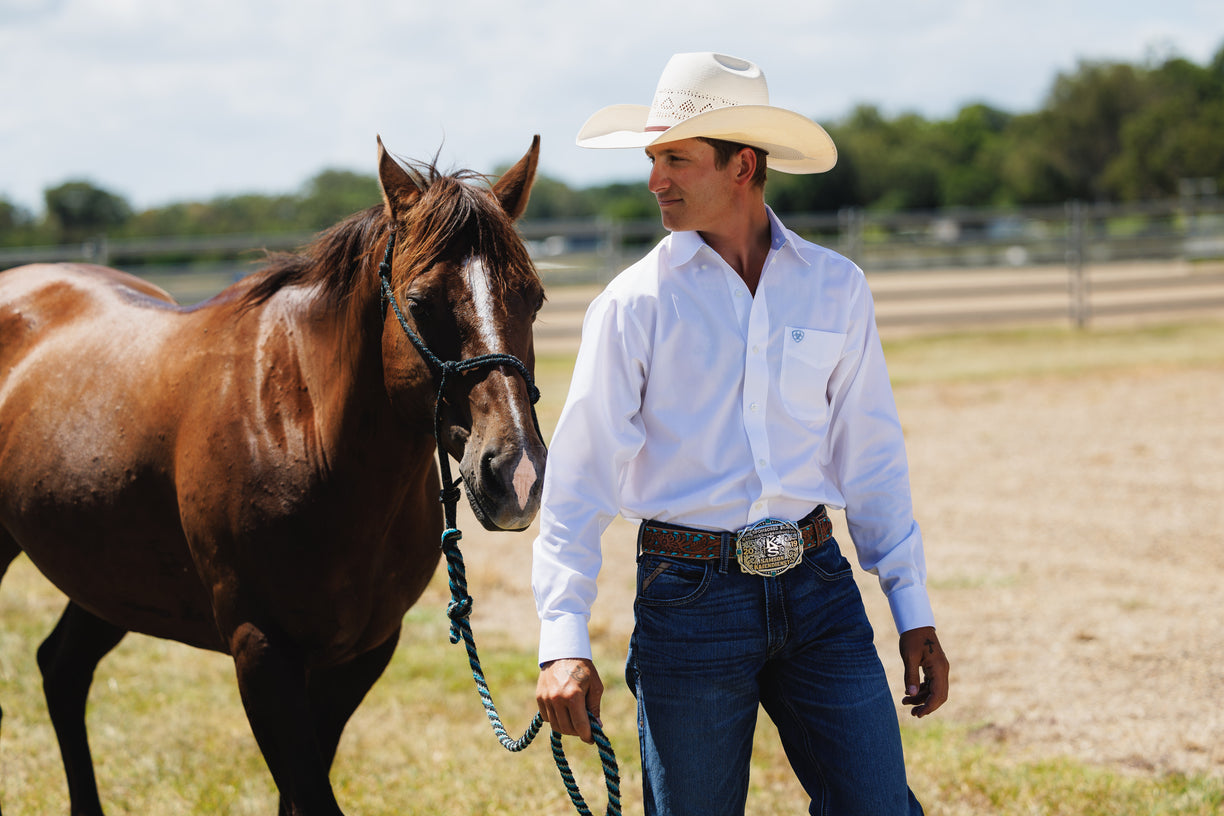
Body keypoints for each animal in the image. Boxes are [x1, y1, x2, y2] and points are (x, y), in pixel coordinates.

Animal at [0, 136, 548, 816]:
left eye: (534, 298)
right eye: (421, 303)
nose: (516, 474)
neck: (301, 430)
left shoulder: (356, 658)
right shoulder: (261, 651)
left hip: (107, 577)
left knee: (62, 670)